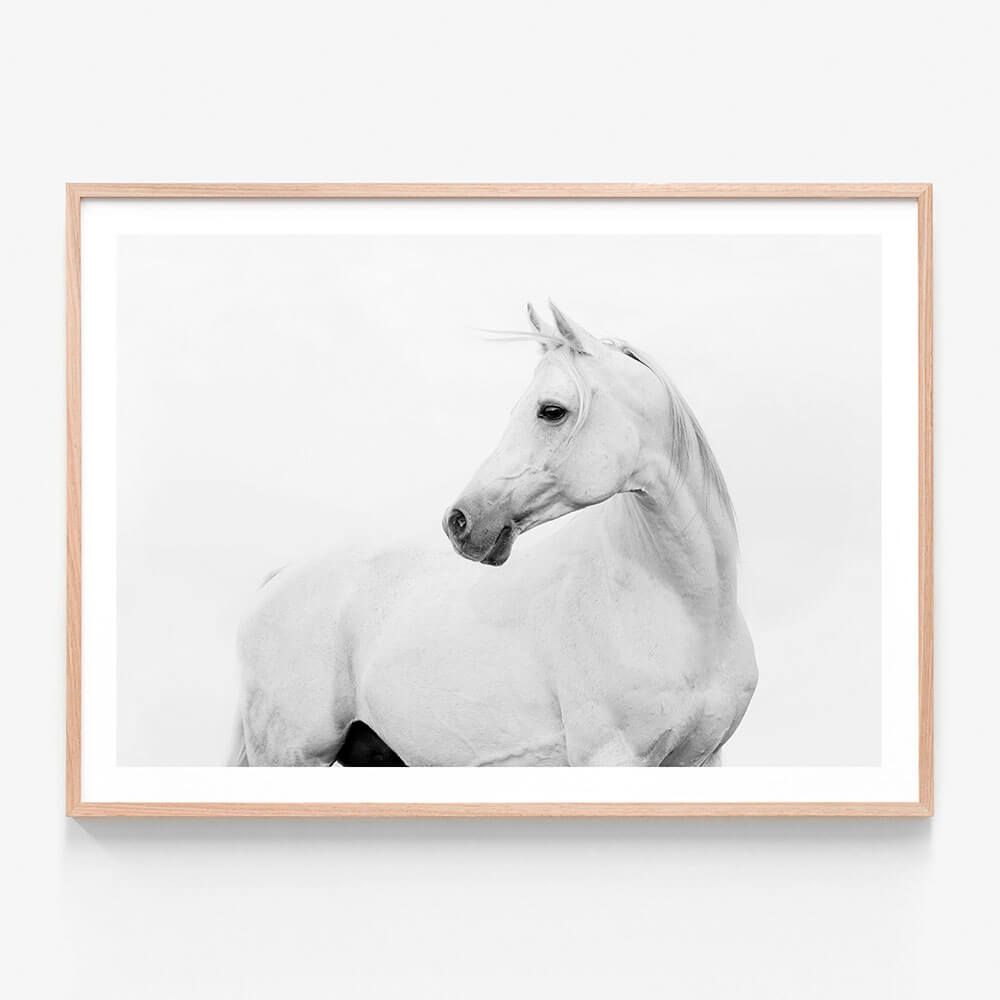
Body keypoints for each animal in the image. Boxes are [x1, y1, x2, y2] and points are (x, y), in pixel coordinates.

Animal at [231, 303, 757, 767]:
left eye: (551, 410)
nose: (459, 521)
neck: (685, 610)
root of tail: (281, 578)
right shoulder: (611, 756)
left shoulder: (702, 760)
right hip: (291, 755)